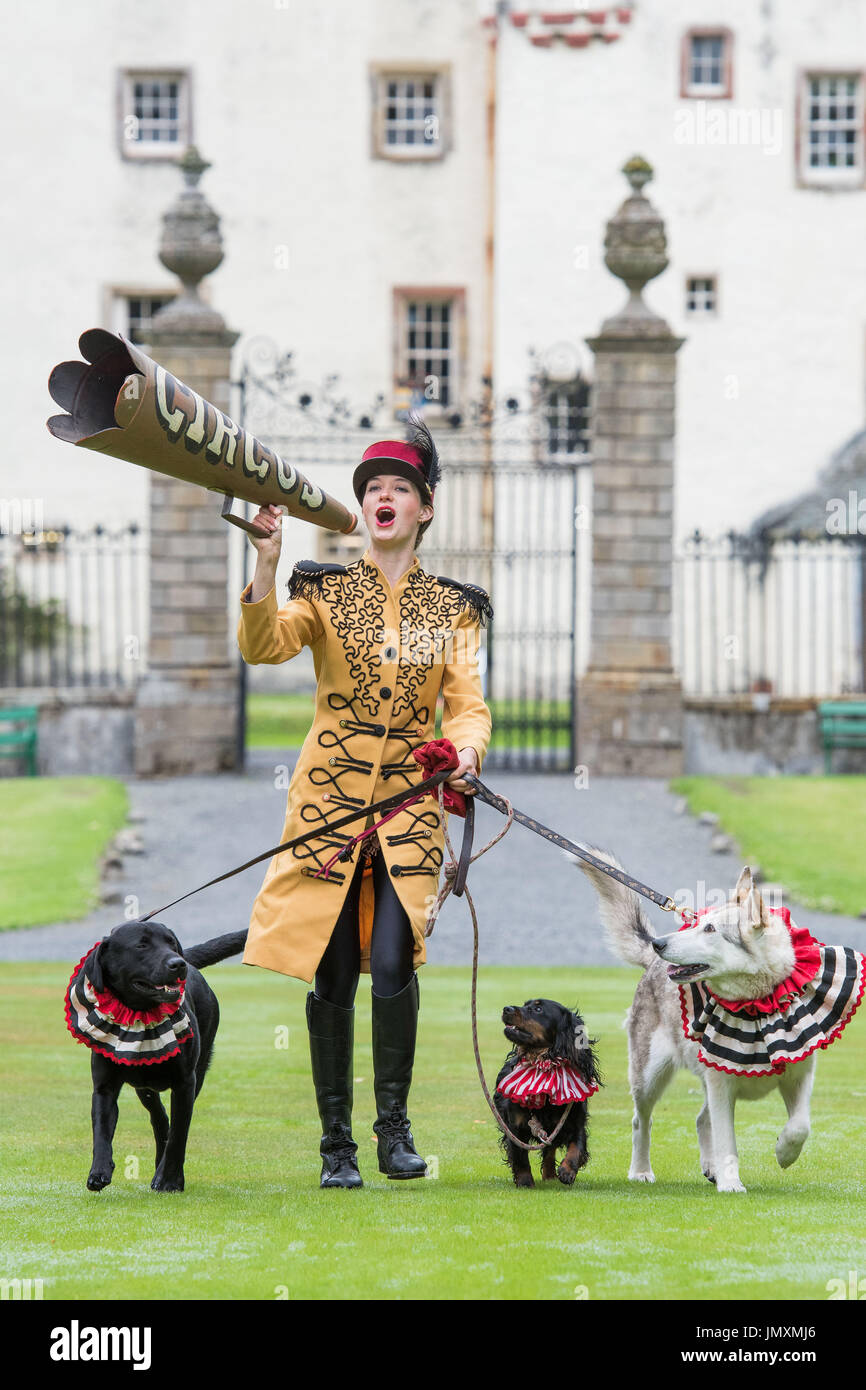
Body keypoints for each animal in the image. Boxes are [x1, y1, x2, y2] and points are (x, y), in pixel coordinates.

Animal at [572, 856, 861, 1195]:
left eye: (709, 929)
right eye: (697, 923)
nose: (659, 943)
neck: (757, 1006)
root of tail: (652, 964)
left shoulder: (799, 1074)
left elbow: (800, 1126)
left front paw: (784, 1152)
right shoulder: (721, 1085)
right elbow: (727, 1141)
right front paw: (731, 1183)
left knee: (700, 1119)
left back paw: (710, 1168)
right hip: (649, 1078)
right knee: (641, 1121)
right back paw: (641, 1171)